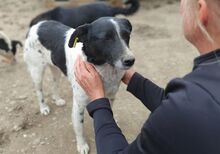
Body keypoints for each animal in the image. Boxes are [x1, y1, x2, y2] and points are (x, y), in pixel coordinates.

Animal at [0, 0, 139, 153]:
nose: (130, 60)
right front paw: (82, 145)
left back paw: (57, 99)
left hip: (56, 69)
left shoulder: (110, 98)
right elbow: (79, 127)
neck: (103, 69)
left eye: (127, 35)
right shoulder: (78, 104)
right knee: (39, 91)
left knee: (55, 83)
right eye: (106, 38)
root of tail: (36, 25)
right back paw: (43, 108)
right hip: (36, 71)